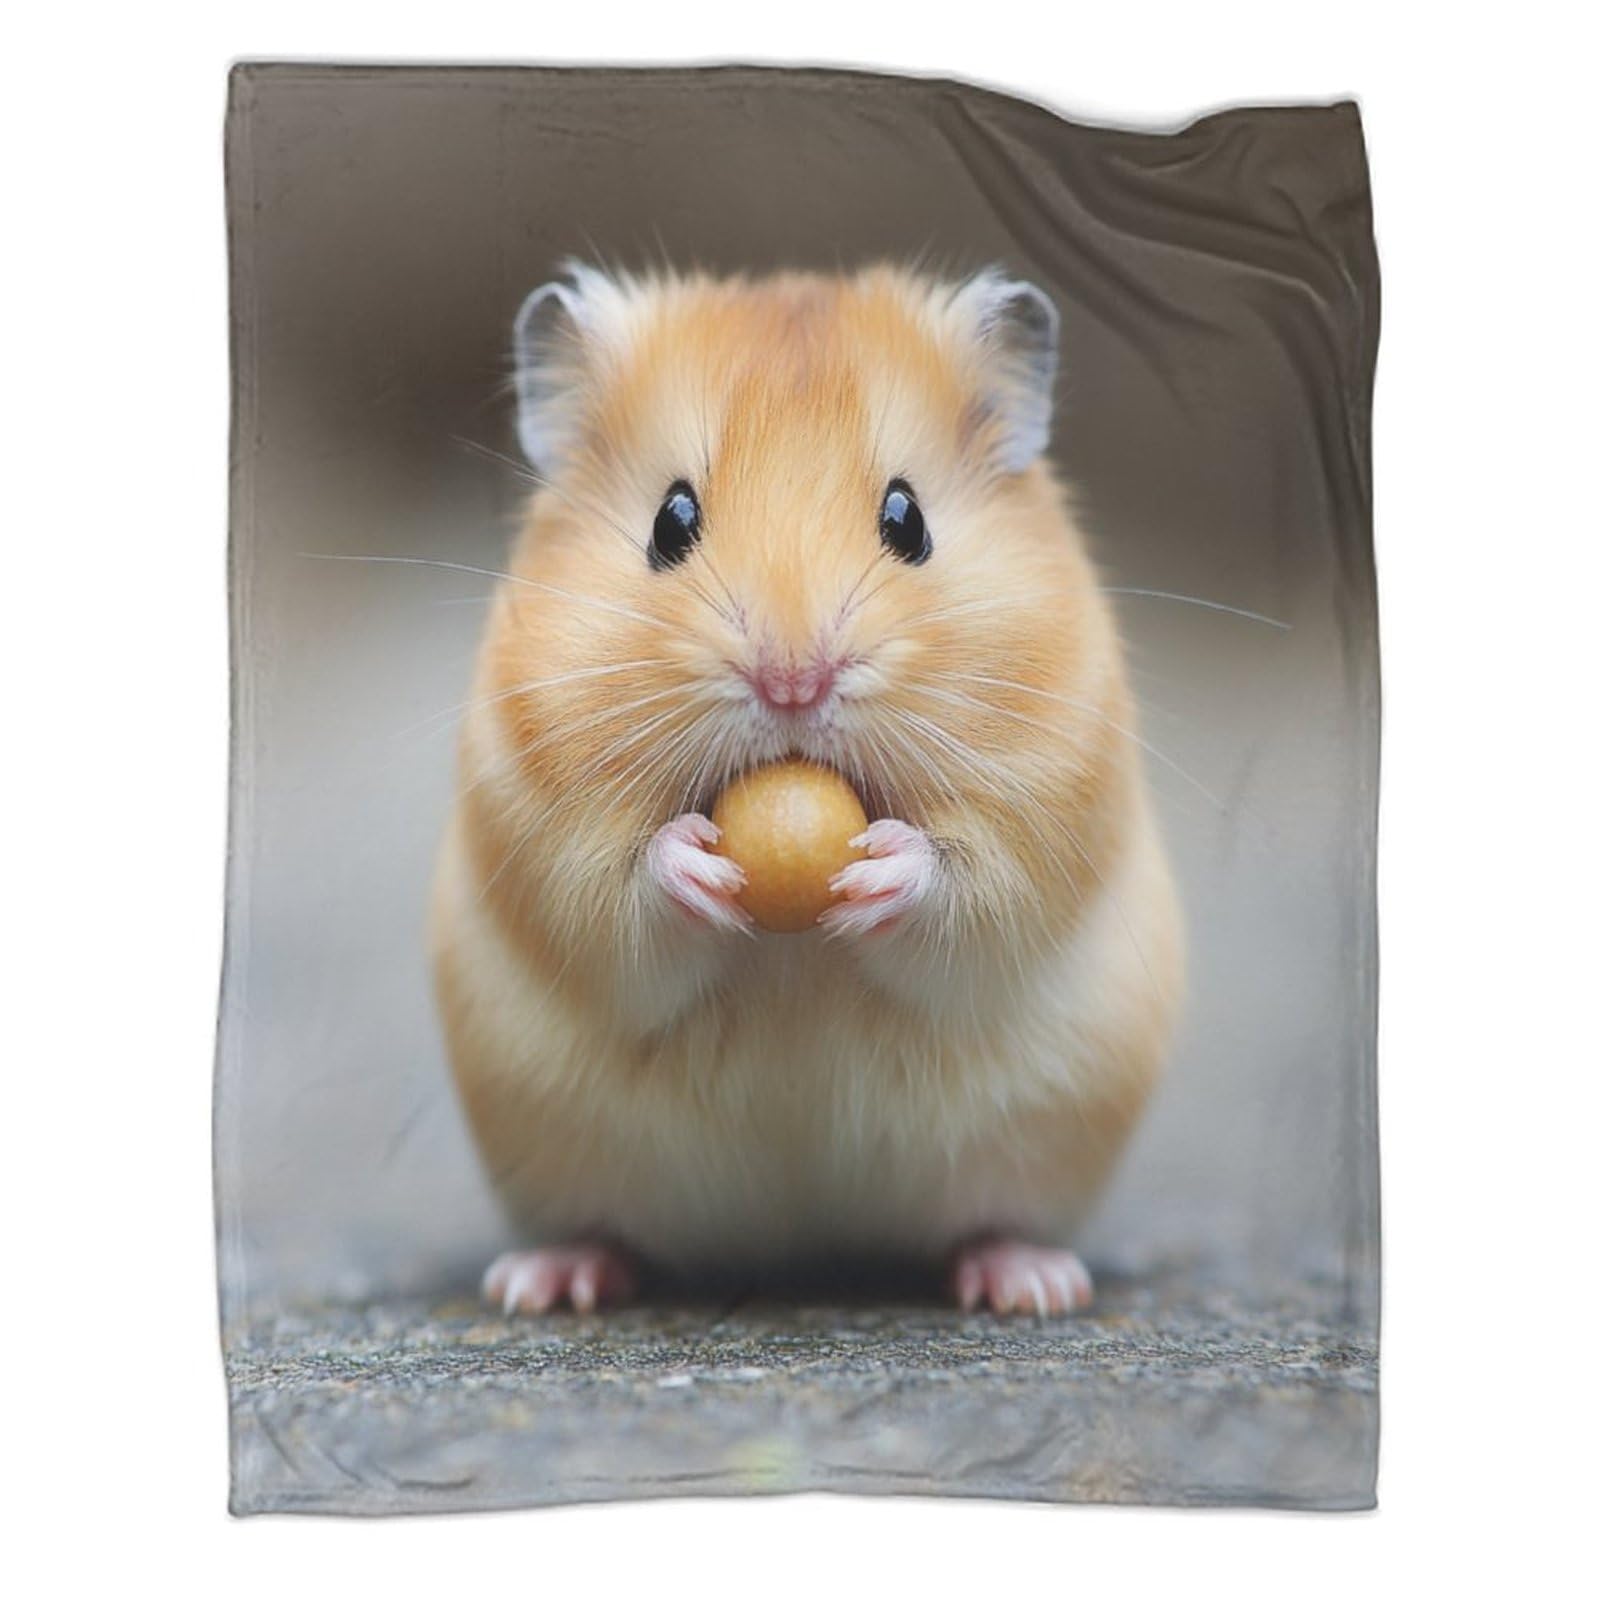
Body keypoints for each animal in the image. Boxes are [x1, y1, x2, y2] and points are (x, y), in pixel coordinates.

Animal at [431, 262, 1184, 1317]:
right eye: (670, 521)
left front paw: (878, 872)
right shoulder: (541, 825)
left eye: (908, 519)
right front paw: (698, 865)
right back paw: (546, 1284)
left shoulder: (1047, 798)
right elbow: (618, 900)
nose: (793, 683)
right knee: (603, 1230)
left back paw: (1033, 1285)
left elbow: (970, 889)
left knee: (990, 1221)